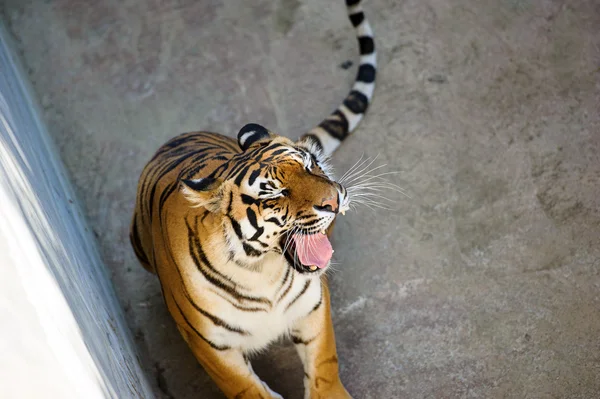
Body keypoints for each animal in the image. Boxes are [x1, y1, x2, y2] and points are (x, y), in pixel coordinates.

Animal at [129, 0, 378, 396]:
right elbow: (247, 389)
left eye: (310, 164)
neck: (264, 274)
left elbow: (324, 365)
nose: (335, 201)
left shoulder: (311, 307)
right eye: (275, 192)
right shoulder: (214, 348)